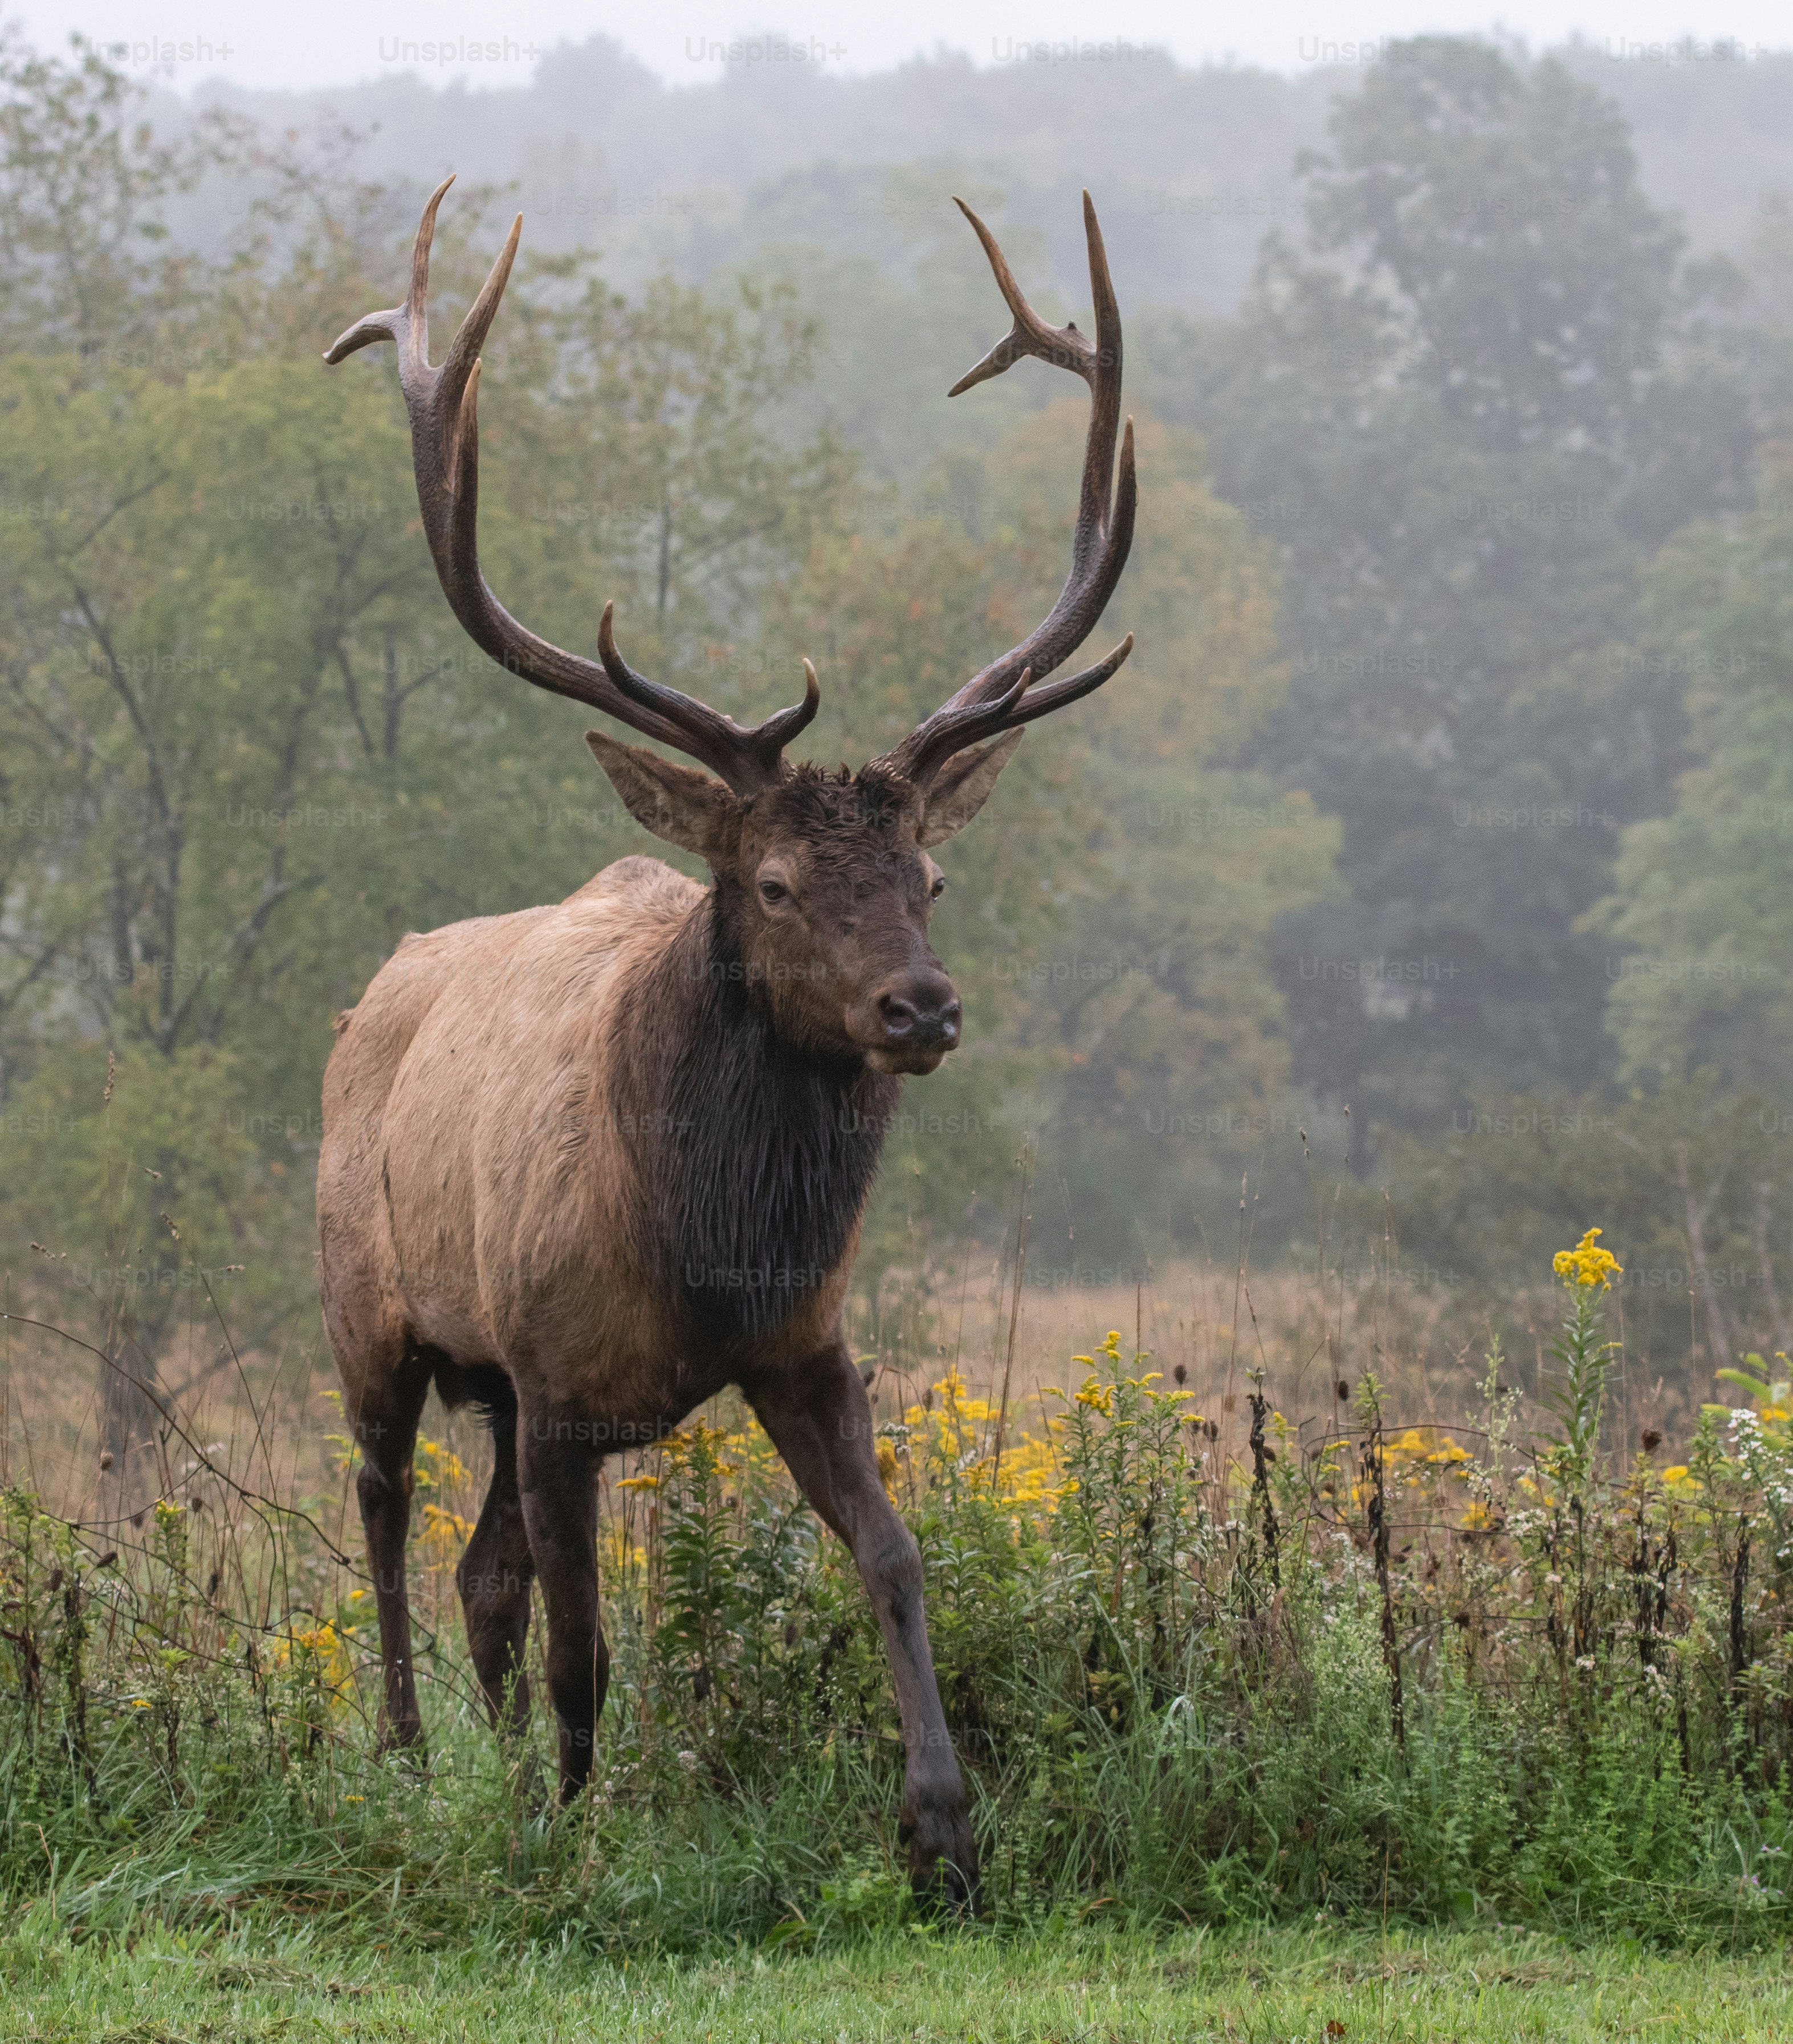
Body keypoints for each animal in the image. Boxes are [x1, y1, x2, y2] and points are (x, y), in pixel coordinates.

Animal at [316, 175, 1136, 1902]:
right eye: (770, 882)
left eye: (929, 877)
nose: (920, 1007)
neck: (706, 1249)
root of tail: (375, 995)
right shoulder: (556, 1379)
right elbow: (586, 1645)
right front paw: (577, 1836)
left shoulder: (799, 1343)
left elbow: (894, 1554)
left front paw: (945, 1830)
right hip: (372, 1308)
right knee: (383, 1514)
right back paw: (415, 1764)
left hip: (491, 1383)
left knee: (481, 1574)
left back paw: (495, 1772)